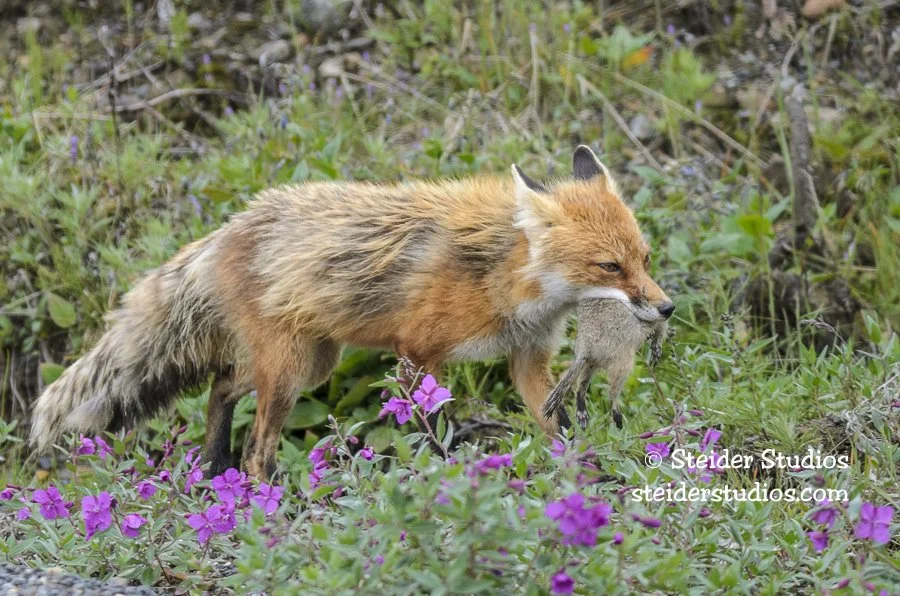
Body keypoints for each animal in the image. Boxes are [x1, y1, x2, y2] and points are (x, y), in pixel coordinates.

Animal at [541, 298, 668, 431]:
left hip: (591, 362)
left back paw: (582, 411)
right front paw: (656, 347)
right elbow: (660, 325)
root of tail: (585, 346)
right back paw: (616, 414)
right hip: (622, 359)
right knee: (613, 388)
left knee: (582, 383)